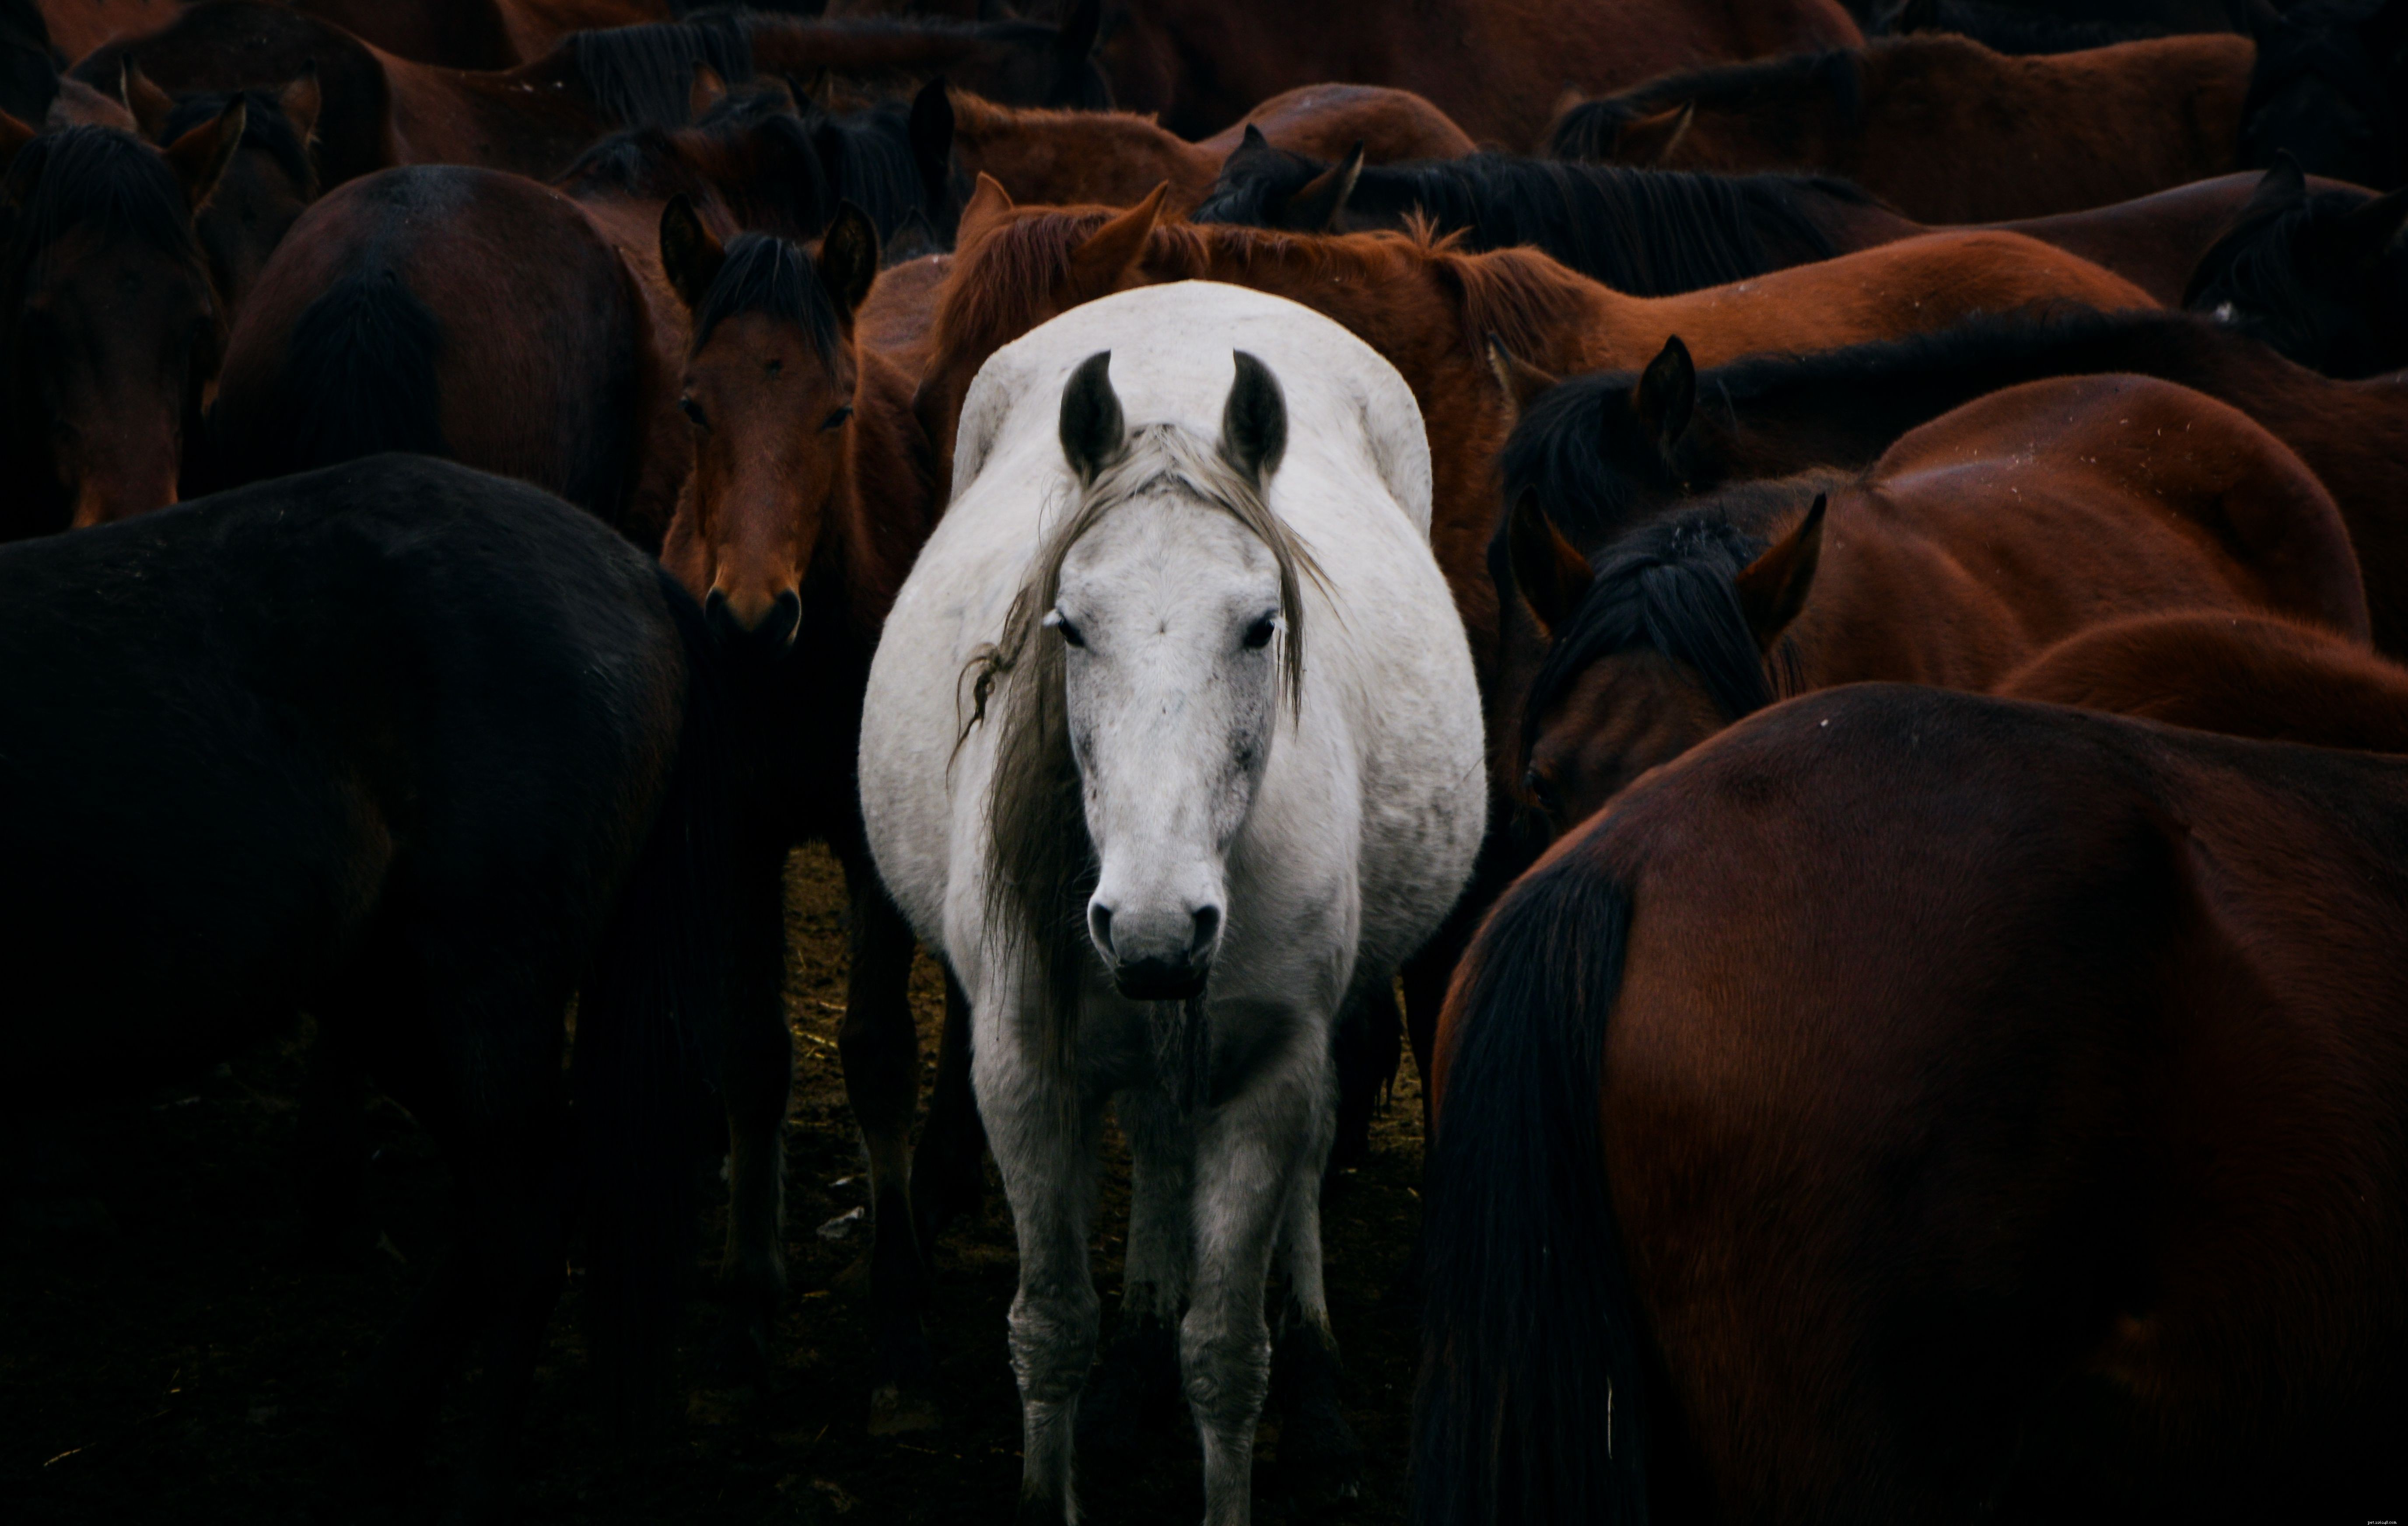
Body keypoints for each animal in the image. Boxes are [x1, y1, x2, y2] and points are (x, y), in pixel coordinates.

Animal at [0, 452, 769, 1517]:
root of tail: (635, 572)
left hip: (481, 988)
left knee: (523, 1222)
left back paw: (471, 1478)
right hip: (387, 996)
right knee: (515, 1199)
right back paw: (383, 1417)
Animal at [859, 282, 1486, 1522]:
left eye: (1260, 624)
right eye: (1068, 626)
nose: (1153, 927)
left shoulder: (1268, 1072)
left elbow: (1227, 1351)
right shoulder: (1022, 1068)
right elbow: (1052, 1327)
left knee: (1301, 1172)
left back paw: (1318, 1391)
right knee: (1154, 1139)